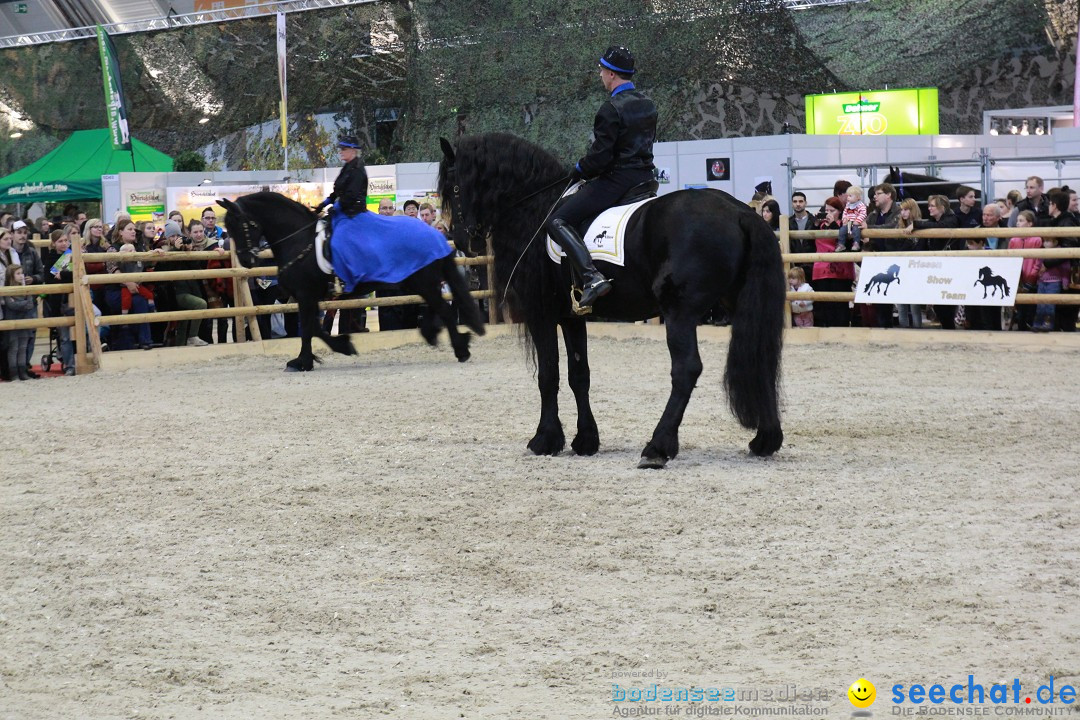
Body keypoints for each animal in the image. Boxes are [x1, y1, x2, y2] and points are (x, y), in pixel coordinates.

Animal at [219, 191, 486, 371]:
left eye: (242, 224)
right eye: (228, 227)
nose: (247, 260)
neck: (299, 239)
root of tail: (437, 236)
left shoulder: (306, 294)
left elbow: (309, 329)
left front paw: (306, 360)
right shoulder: (309, 297)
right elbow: (314, 328)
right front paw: (333, 349)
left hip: (423, 281)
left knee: (444, 310)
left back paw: (460, 349)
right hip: (416, 281)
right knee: (436, 307)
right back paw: (436, 334)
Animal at [436, 133, 786, 468]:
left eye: (453, 187)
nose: (463, 240)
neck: (533, 207)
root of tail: (740, 212)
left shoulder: (541, 313)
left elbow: (548, 374)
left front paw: (544, 440)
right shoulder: (572, 315)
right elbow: (579, 375)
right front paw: (585, 441)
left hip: (680, 311)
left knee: (686, 369)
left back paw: (657, 448)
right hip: (738, 304)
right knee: (759, 357)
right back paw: (764, 441)